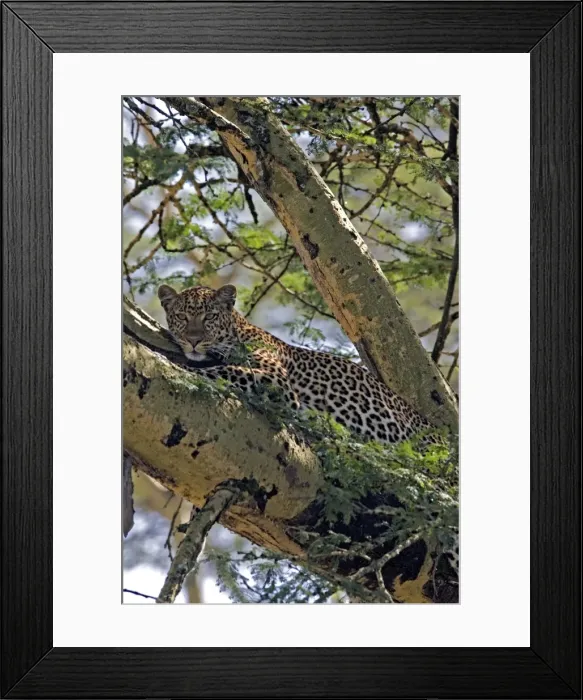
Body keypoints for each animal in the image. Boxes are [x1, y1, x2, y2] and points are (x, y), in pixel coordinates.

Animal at [158, 282, 459, 576]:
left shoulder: (275, 380)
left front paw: (174, 364)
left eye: (209, 317)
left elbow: (223, 371)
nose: (193, 340)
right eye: (181, 317)